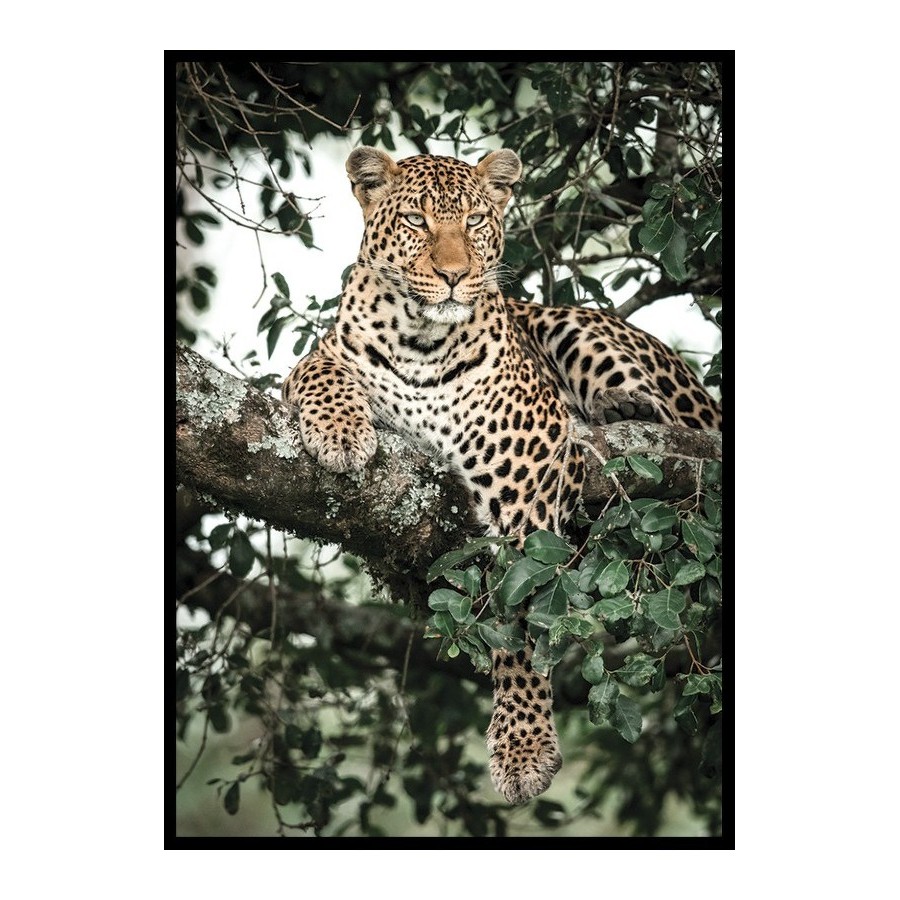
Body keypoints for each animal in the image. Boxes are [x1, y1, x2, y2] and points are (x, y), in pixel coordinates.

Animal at [282, 146, 721, 805]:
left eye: (475, 222)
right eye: (415, 221)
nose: (454, 275)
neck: (421, 340)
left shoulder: (529, 477)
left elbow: (521, 621)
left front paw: (523, 747)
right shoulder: (324, 355)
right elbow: (320, 371)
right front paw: (341, 435)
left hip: (578, 331)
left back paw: (622, 408)